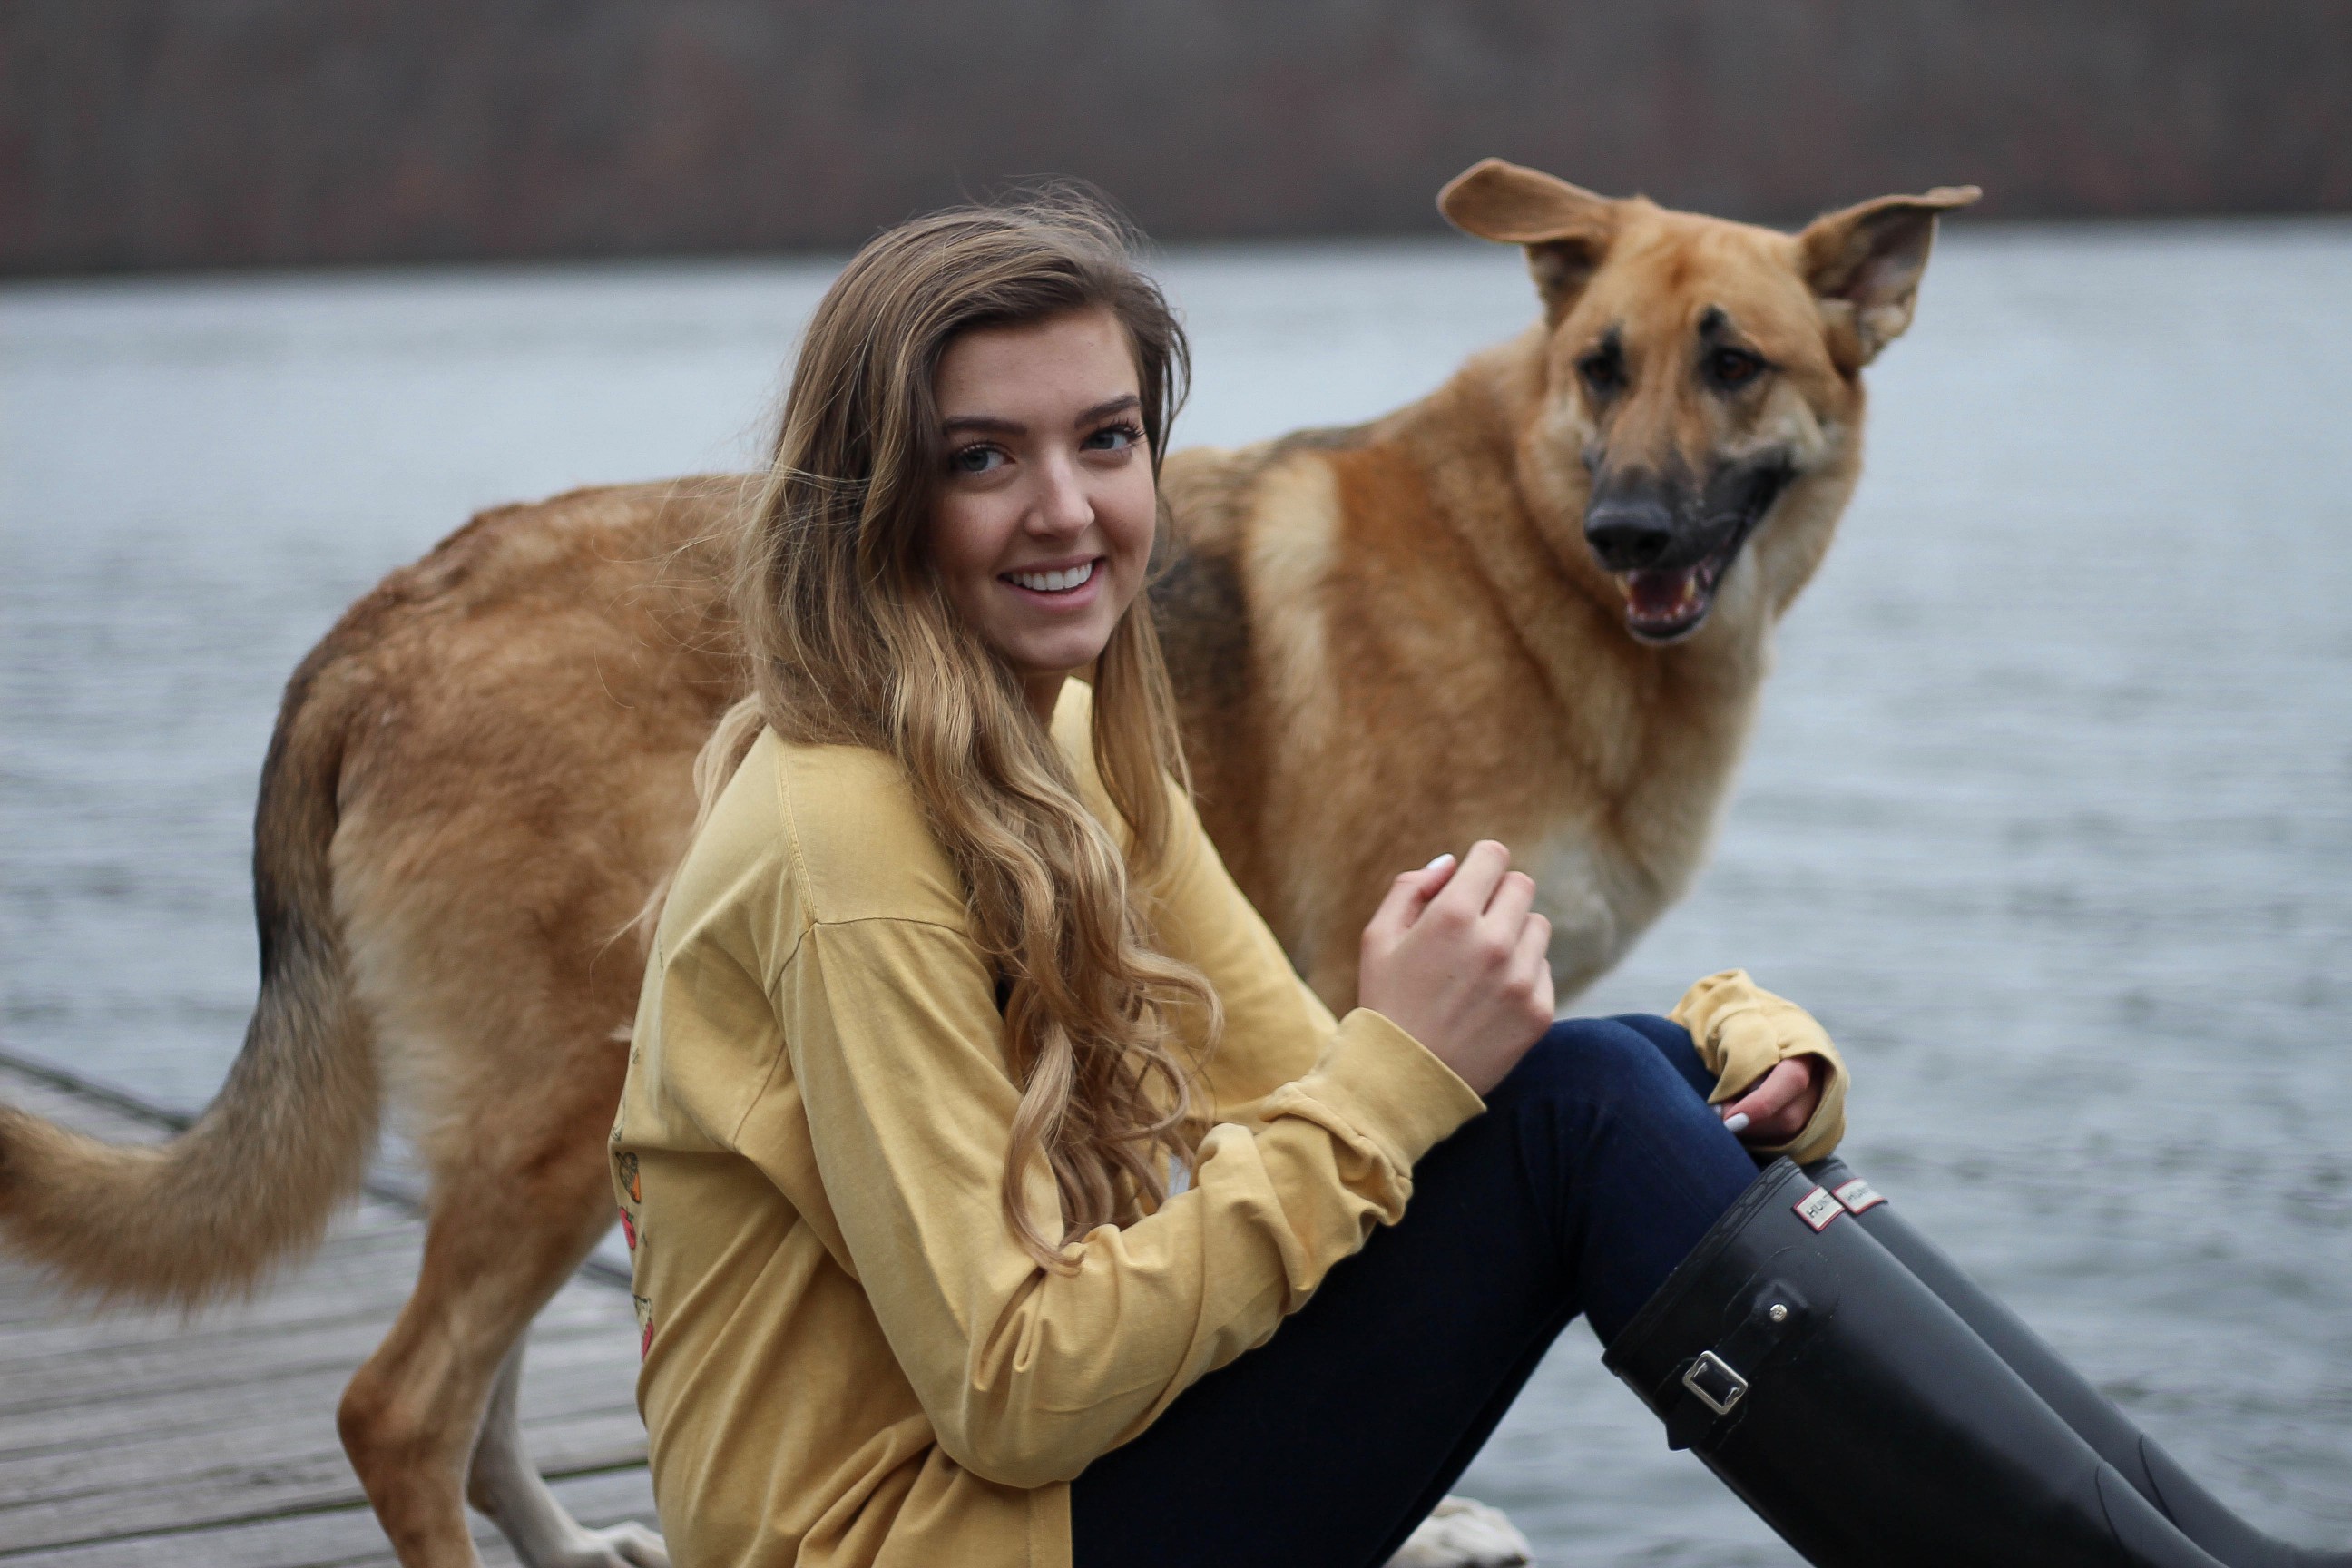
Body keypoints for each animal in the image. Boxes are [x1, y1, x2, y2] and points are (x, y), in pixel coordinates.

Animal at [0, 165, 1965, 1561]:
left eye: (1733, 363)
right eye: (1599, 371)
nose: (1630, 526)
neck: (1527, 558)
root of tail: (387, 614)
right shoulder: (1358, 997)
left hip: (536, 1116)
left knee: (463, 1405)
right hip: (559, 1104)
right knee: (401, 1408)